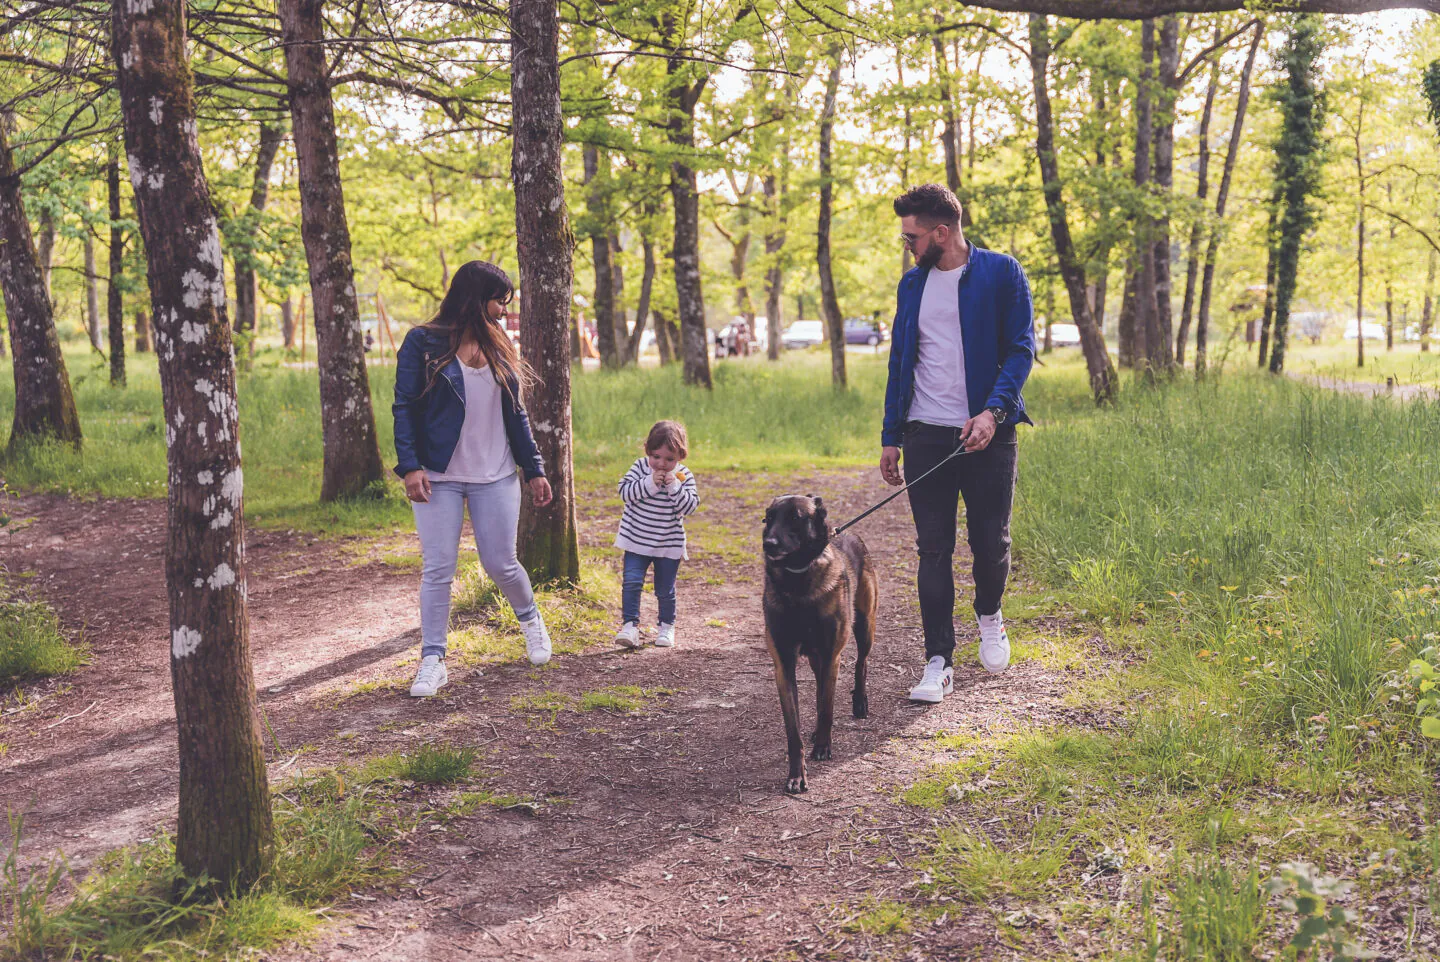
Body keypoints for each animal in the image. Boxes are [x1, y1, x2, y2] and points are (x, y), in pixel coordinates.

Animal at [766, 492, 875, 794]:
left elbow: (827, 706)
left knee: (861, 664)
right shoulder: (784, 666)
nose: (768, 543)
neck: (798, 581)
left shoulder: (831, 656)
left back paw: (859, 703)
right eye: (768, 518)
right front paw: (797, 774)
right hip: (817, 659)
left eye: (795, 518)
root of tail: (848, 532)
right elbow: (793, 730)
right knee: (818, 688)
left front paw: (823, 747)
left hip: (864, 628)